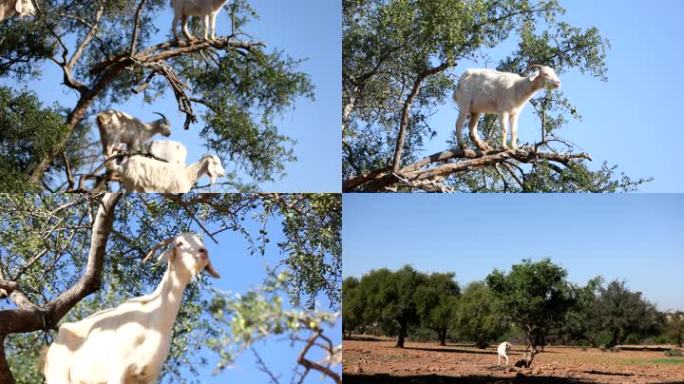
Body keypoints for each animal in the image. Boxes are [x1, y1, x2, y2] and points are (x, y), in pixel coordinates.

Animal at [40, 232, 220, 384]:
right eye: (179, 243)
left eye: (201, 241)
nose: (203, 252)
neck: (154, 319)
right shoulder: (118, 369)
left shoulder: (148, 377)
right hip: (59, 377)